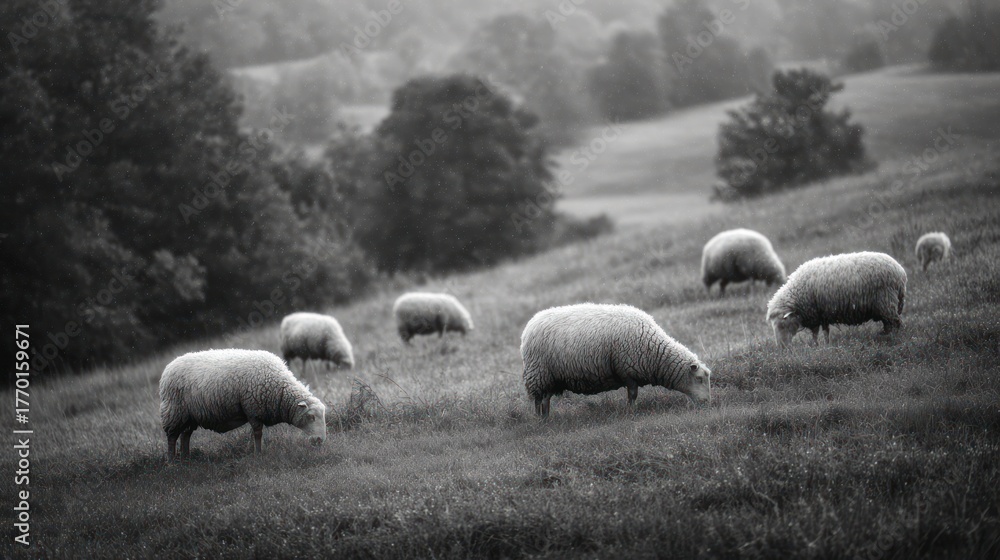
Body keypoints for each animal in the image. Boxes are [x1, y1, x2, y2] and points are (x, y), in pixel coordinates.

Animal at [158, 349, 327, 460]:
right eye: (311, 417)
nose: (320, 440)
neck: (279, 388)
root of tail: (167, 369)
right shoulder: (252, 409)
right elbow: (257, 433)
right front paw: (258, 454)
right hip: (174, 412)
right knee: (172, 437)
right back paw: (171, 462)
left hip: (190, 415)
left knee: (185, 435)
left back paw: (186, 458)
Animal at [520, 303, 711, 417]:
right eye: (699, 379)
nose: (707, 403)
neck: (654, 353)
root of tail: (529, 326)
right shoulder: (628, 371)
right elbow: (632, 394)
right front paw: (631, 411)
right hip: (539, 373)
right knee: (539, 400)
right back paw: (540, 419)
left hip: (548, 377)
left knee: (545, 399)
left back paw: (546, 417)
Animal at [766, 251, 907, 347]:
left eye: (782, 325)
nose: (782, 347)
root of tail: (900, 272)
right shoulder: (821, 314)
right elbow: (824, 331)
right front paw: (824, 345)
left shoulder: (815, 314)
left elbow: (816, 333)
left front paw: (818, 346)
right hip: (886, 305)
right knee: (889, 323)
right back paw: (884, 335)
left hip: (886, 301)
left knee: (895, 322)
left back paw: (893, 338)